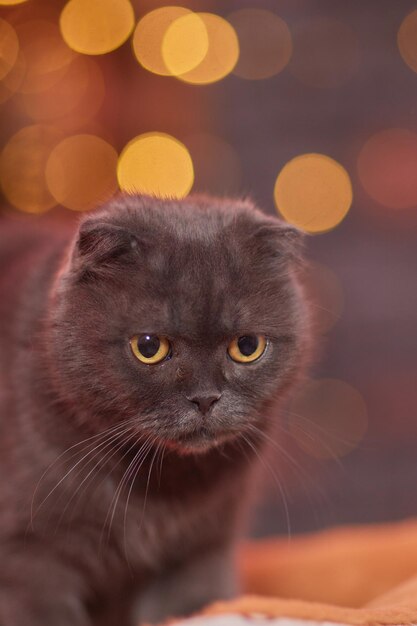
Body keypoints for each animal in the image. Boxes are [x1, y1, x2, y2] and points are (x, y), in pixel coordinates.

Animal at [0, 193, 308, 620]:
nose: (205, 397)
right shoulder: (27, 552)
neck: (160, 487)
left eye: (247, 346)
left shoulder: (201, 549)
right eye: (149, 347)